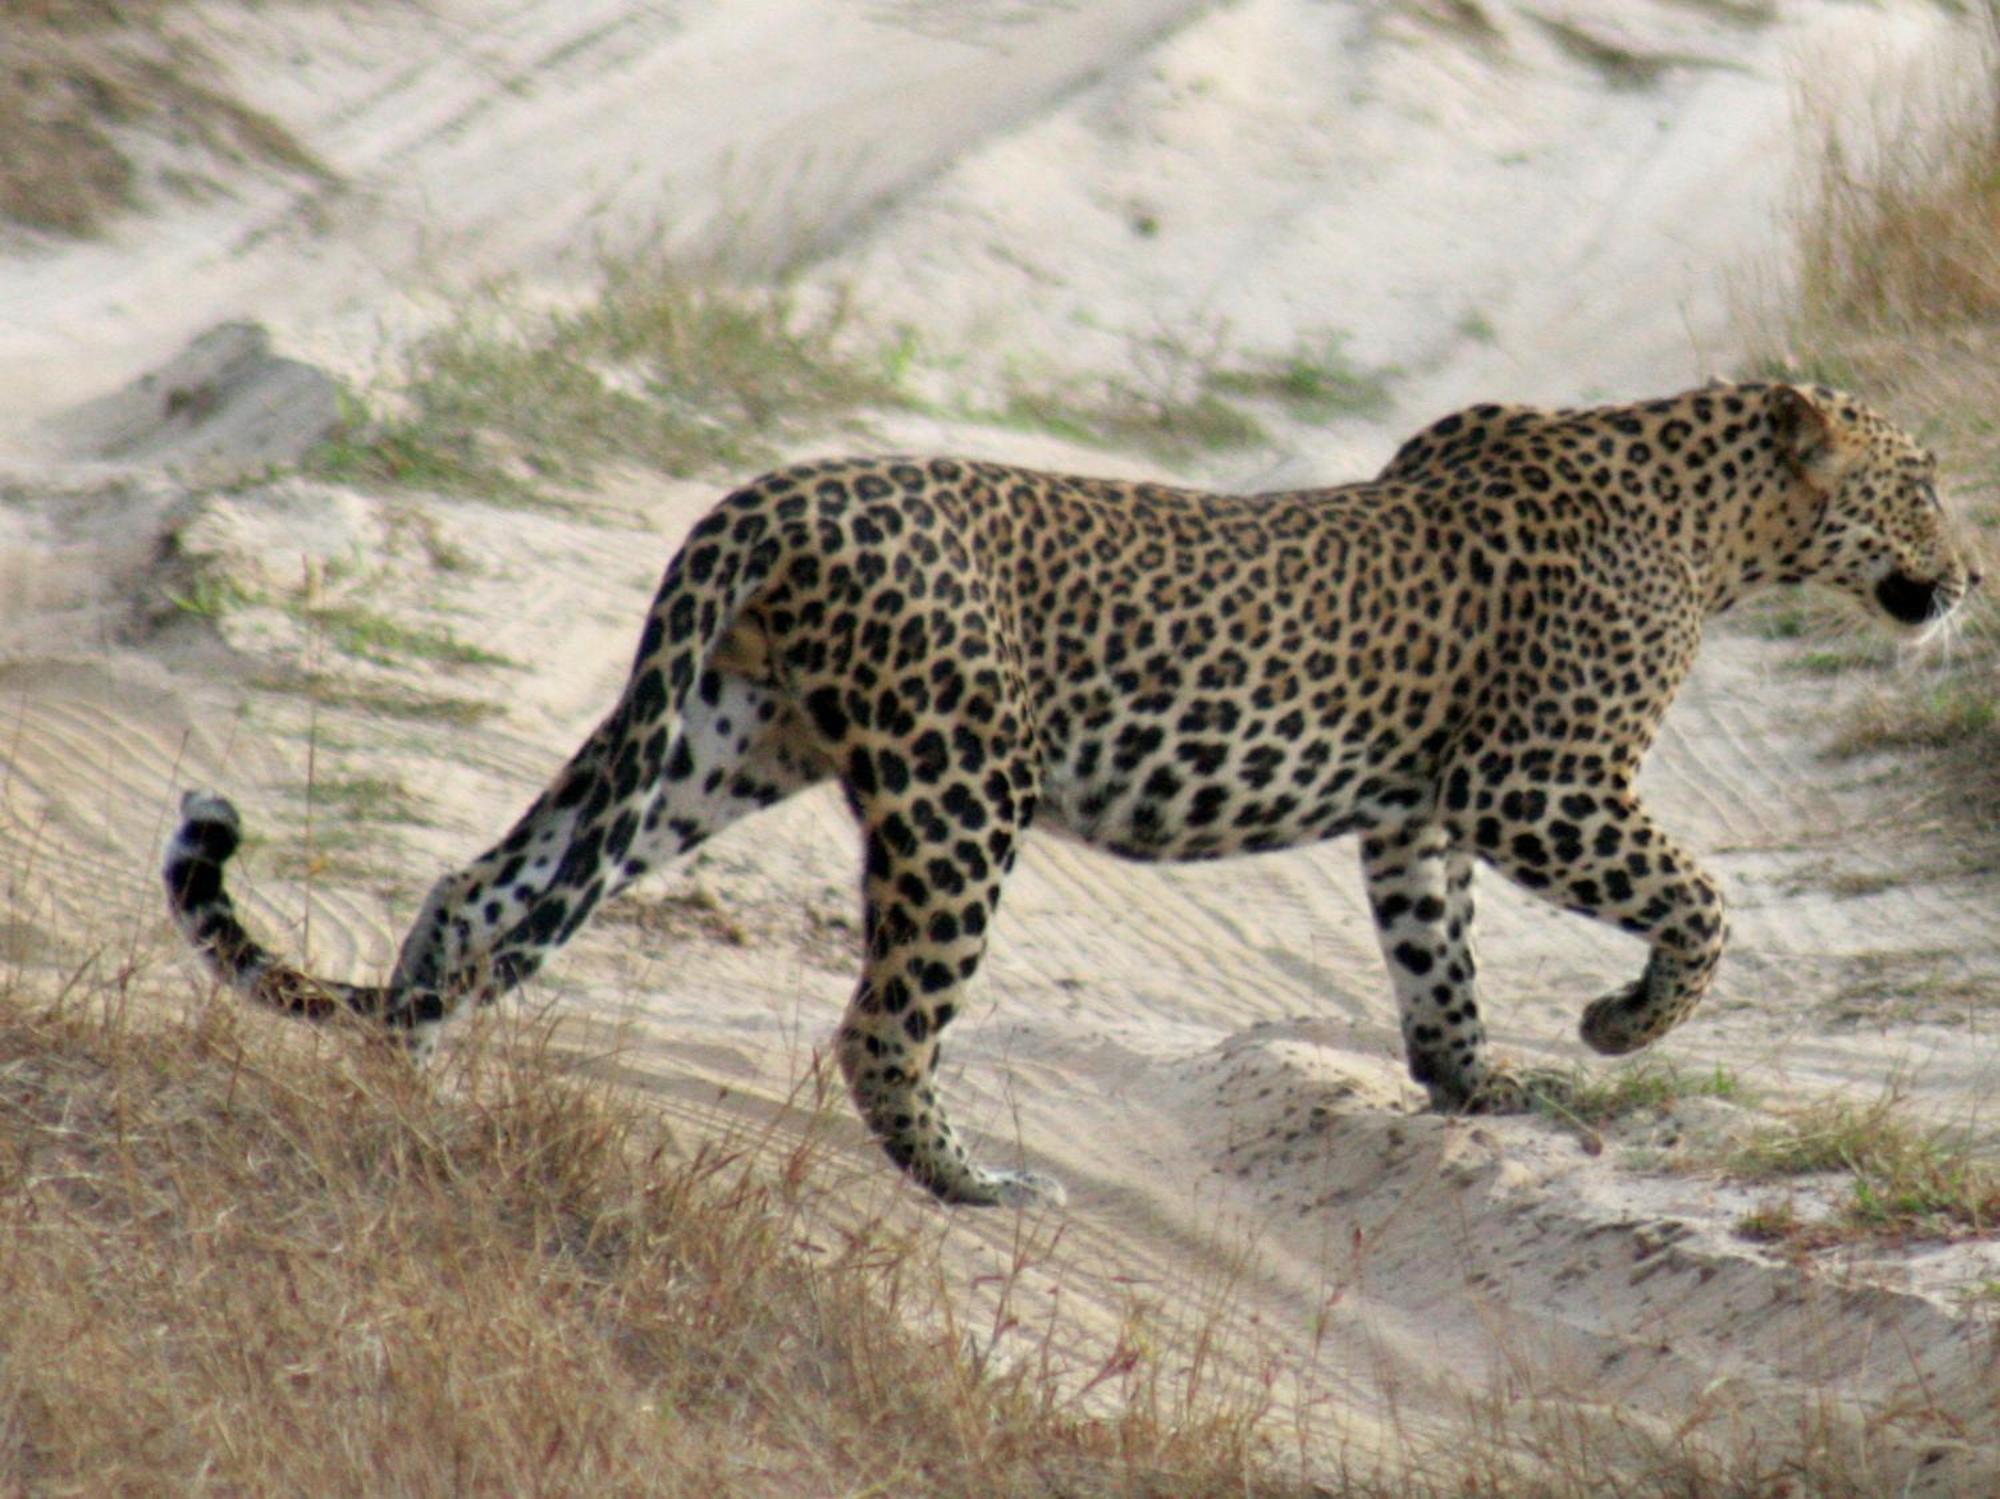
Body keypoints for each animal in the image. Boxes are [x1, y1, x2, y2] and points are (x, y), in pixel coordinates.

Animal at [164, 383, 1976, 1207]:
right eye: (1928, 483)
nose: (1967, 577)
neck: (1727, 528)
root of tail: (762, 498)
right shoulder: (1536, 776)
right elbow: (1703, 897)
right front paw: (1620, 1025)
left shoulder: (1419, 809)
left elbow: (1435, 955)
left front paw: (1481, 1084)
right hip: (959, 788)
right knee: (881, 1019)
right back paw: (966, 1179)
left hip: (713, 740)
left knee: (489, 887)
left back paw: (406, 1072)